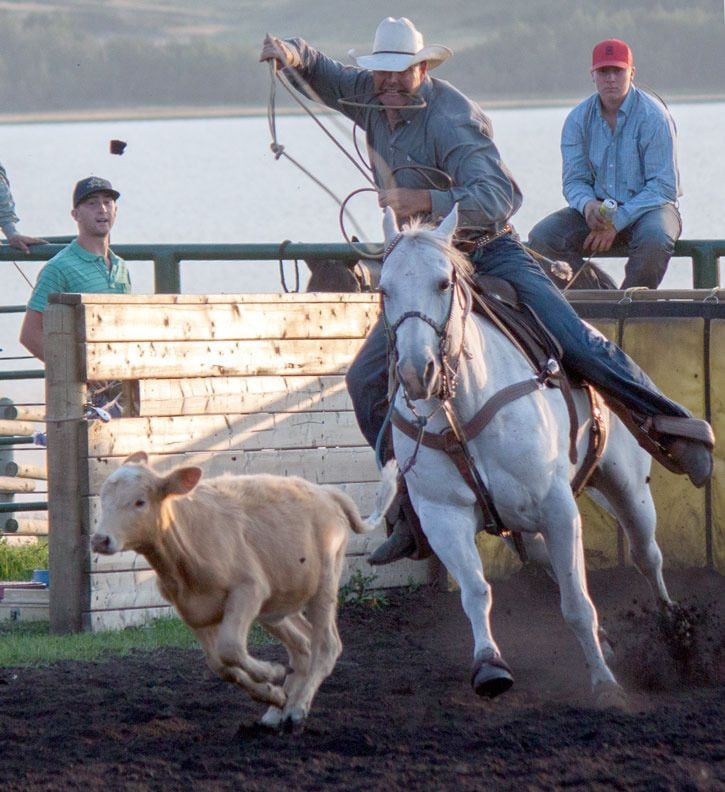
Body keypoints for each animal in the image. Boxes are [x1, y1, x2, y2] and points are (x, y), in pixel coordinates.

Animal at [91, 452, 398, 732]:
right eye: (103, 500)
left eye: (139, 501)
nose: (100, 539)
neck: (185, 546)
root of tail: (328, 493)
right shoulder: (193, 611)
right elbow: (220, 665)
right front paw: (272, 693)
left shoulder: (248, 590)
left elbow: (231, 648)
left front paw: (272, 674)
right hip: (276, 607)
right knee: (303, 645)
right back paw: (278, 710)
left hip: (323, 585)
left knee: (327, 646)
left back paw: (297, 709)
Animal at [382, 206, 672, 704]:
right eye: (383, 290)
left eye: (442, 283)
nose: (418, 373)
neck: (463, 410)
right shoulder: (442, 515)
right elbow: (475, 592)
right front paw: (489, 667)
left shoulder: (558, 509)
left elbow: (577, 604)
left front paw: (605, 685)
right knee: (541, 556)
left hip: (628, 485)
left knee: (646, 554)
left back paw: (676, 634)